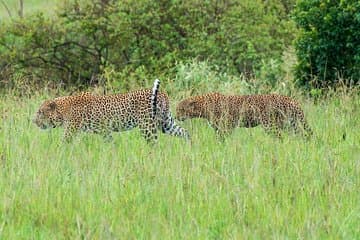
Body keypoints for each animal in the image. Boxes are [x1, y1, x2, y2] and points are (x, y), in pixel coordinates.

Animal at [33, 79, 190, 142]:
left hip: (147, 126)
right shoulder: (105, 131)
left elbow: (63, 144)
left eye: (40, 112)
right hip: (166, 123)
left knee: (154, 143)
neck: (62, 109)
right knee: (185, 132)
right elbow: (110, 143)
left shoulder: (70, 130)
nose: (33, 121)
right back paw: (190, 148)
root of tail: (163, 94)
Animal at [177, 92, 312, 139]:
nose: (177, 117)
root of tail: (291, 99)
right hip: (287, 123)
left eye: (181, 109)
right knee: (300, 134)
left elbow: (221, 139)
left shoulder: (225, 126)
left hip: (270, 124)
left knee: (279, 137)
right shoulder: (219, 128)